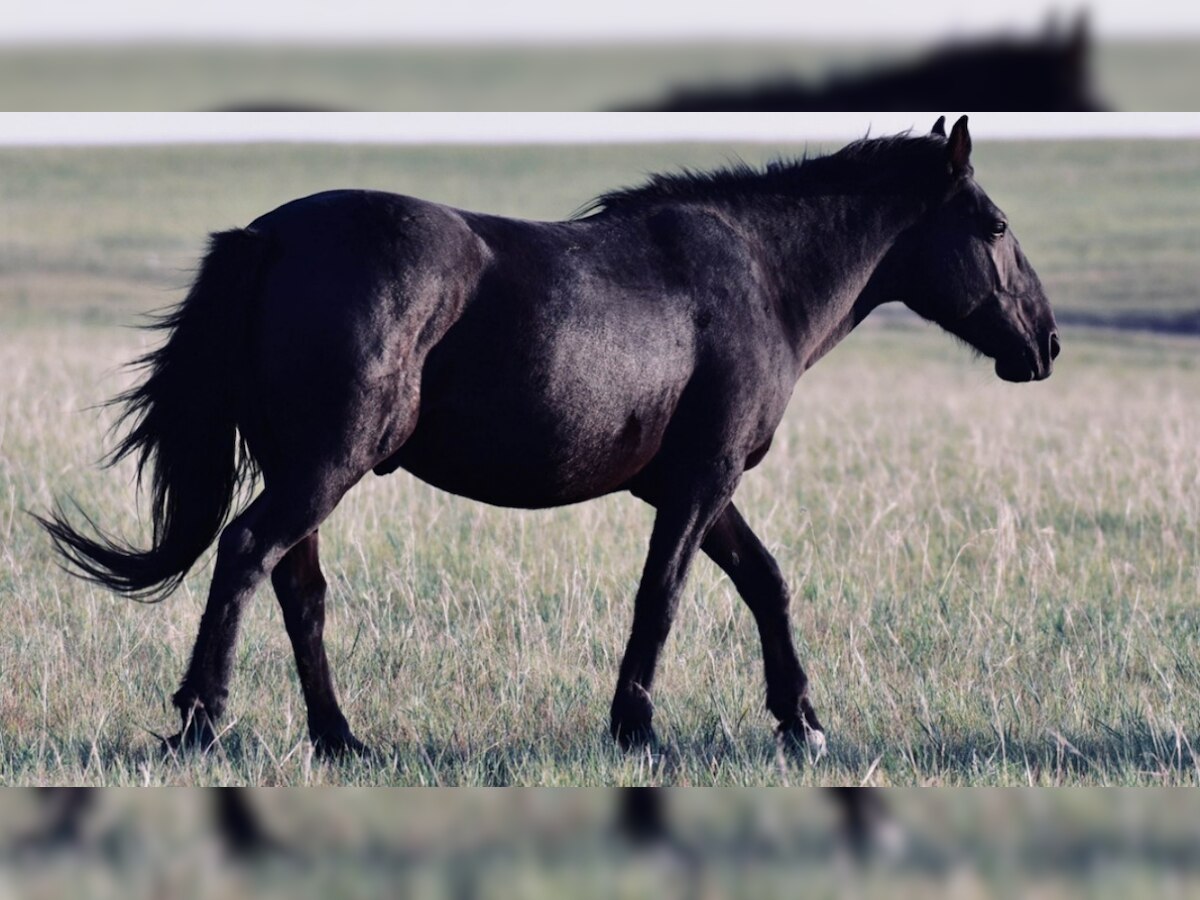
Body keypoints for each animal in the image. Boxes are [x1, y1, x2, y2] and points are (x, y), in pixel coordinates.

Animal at [42, 116, 1060, 758]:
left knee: (299, 592)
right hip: (325, 467)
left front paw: (799, 720)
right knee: (247, 554)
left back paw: (340, 739)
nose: (1045, 345)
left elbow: (765, 584)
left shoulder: (693, 485)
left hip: (309, 471)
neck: (758, 275)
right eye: (996, 225)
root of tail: (271, 237)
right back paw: (201, 723)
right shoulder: (702, 482)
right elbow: (663, 597)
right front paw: (636, 728)